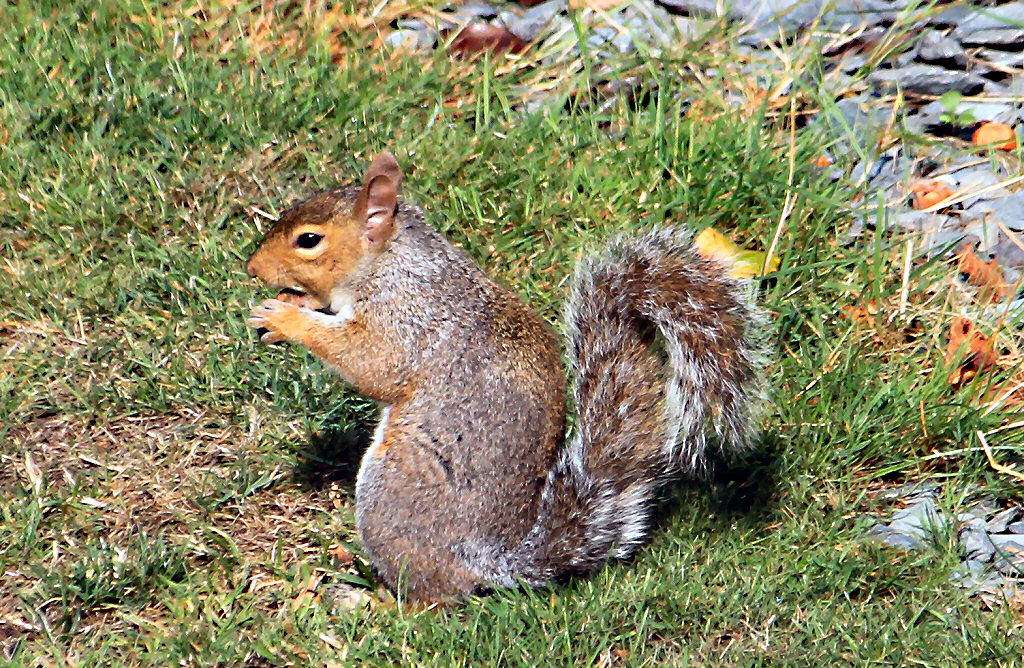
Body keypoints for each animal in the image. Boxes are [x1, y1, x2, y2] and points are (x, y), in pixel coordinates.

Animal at [243, 151, 765, 606]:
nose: (252, 268)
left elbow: (373, 362)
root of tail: (490, 561)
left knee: (436, 596)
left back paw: (381, 604)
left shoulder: (407, 319)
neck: (389, 261)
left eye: (309, 240)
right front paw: (292, 307)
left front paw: (287, 318)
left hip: (389, 494)